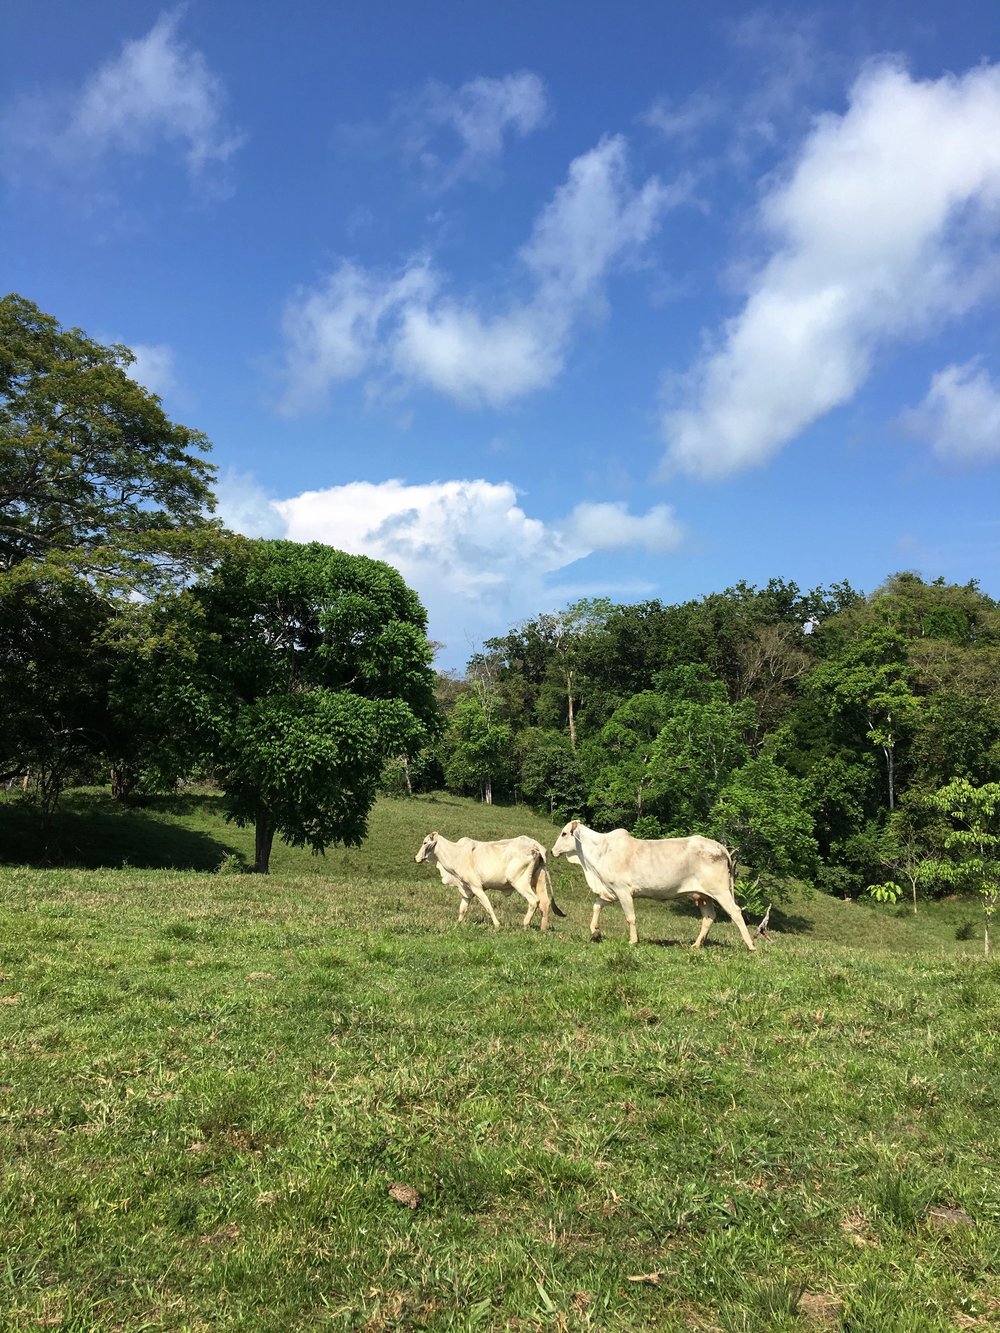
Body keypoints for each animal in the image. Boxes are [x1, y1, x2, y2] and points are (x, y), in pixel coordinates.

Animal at [416, 826, 568, 933]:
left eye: (424, 842)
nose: (416, 858)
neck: (456, 854)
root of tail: (534, 845)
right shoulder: (466, 890)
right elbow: (462, 909)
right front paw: (457, 924)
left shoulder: (476, 887)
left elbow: (488, 906)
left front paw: (497, 925)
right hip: (539, 879)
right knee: (544, 902)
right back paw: (542, 929)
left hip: (520, 882)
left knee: (533, 901)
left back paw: (525, 925)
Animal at [552, 821, 757, 949]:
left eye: (564, 833)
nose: (553, 851)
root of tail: (719, 846)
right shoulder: (611, 891)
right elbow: (597, 905)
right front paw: (595, 931)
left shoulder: (623, 890)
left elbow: (630, 917)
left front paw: (633, 941)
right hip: (704, 895)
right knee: (709, 917)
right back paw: (696, 945)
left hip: (720, 890)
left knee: (736, 912)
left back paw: (751, 945)